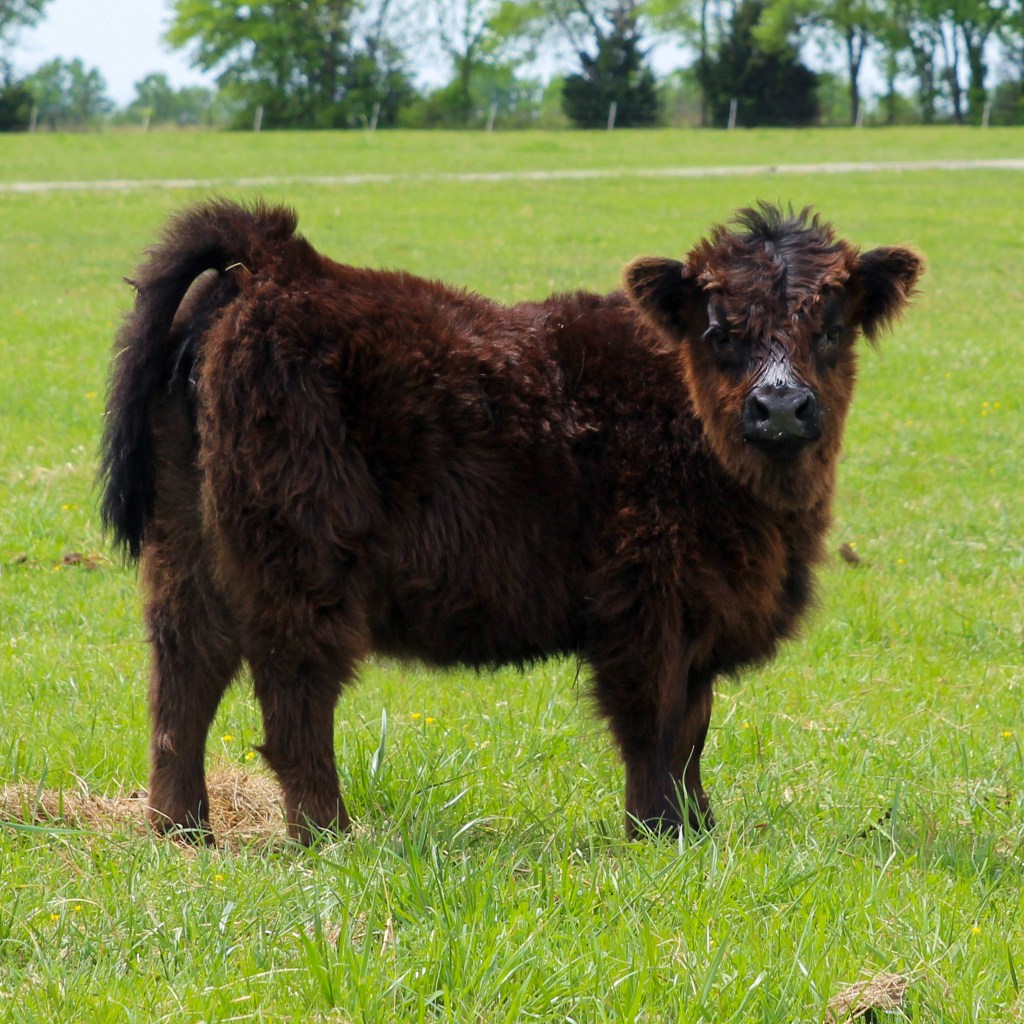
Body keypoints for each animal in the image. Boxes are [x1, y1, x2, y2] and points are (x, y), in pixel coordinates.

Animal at [100, 199, 922, 845]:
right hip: (301, 553)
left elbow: (693, 726)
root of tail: (279, 263)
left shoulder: (699, 612)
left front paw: (700, 827)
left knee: (186, 672)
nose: (780, 407)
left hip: (185, 544)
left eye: (833, 325)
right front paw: (657, 833)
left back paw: (182, 829)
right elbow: (654, 725)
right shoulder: (645, 599)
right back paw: (327, 834)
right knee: (292, 687)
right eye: (720, 330)